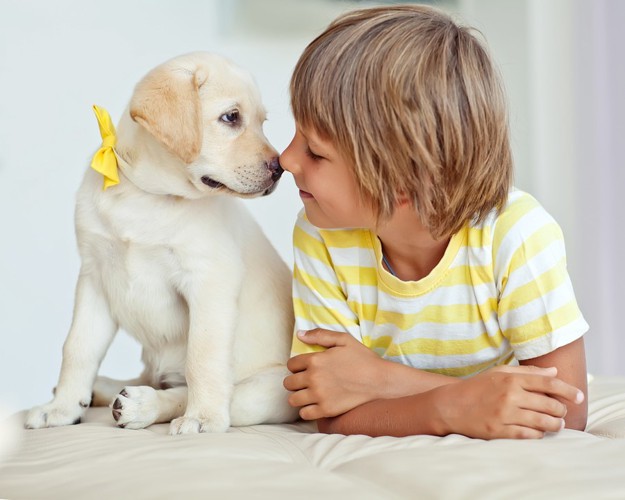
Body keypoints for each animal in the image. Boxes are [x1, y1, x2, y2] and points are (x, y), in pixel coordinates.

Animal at [24, 51, 298, 434]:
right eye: (231, 117)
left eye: (262, 121)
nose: (280, 168)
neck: (146, 195)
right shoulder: (94, 279)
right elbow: (77, 347)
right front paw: (62, 409)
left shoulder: (209, 281)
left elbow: (202, 356)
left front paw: (203, 417)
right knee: (148, 376)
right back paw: (102, 389)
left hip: (271, 389)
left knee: (196, 391)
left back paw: (142, 405)